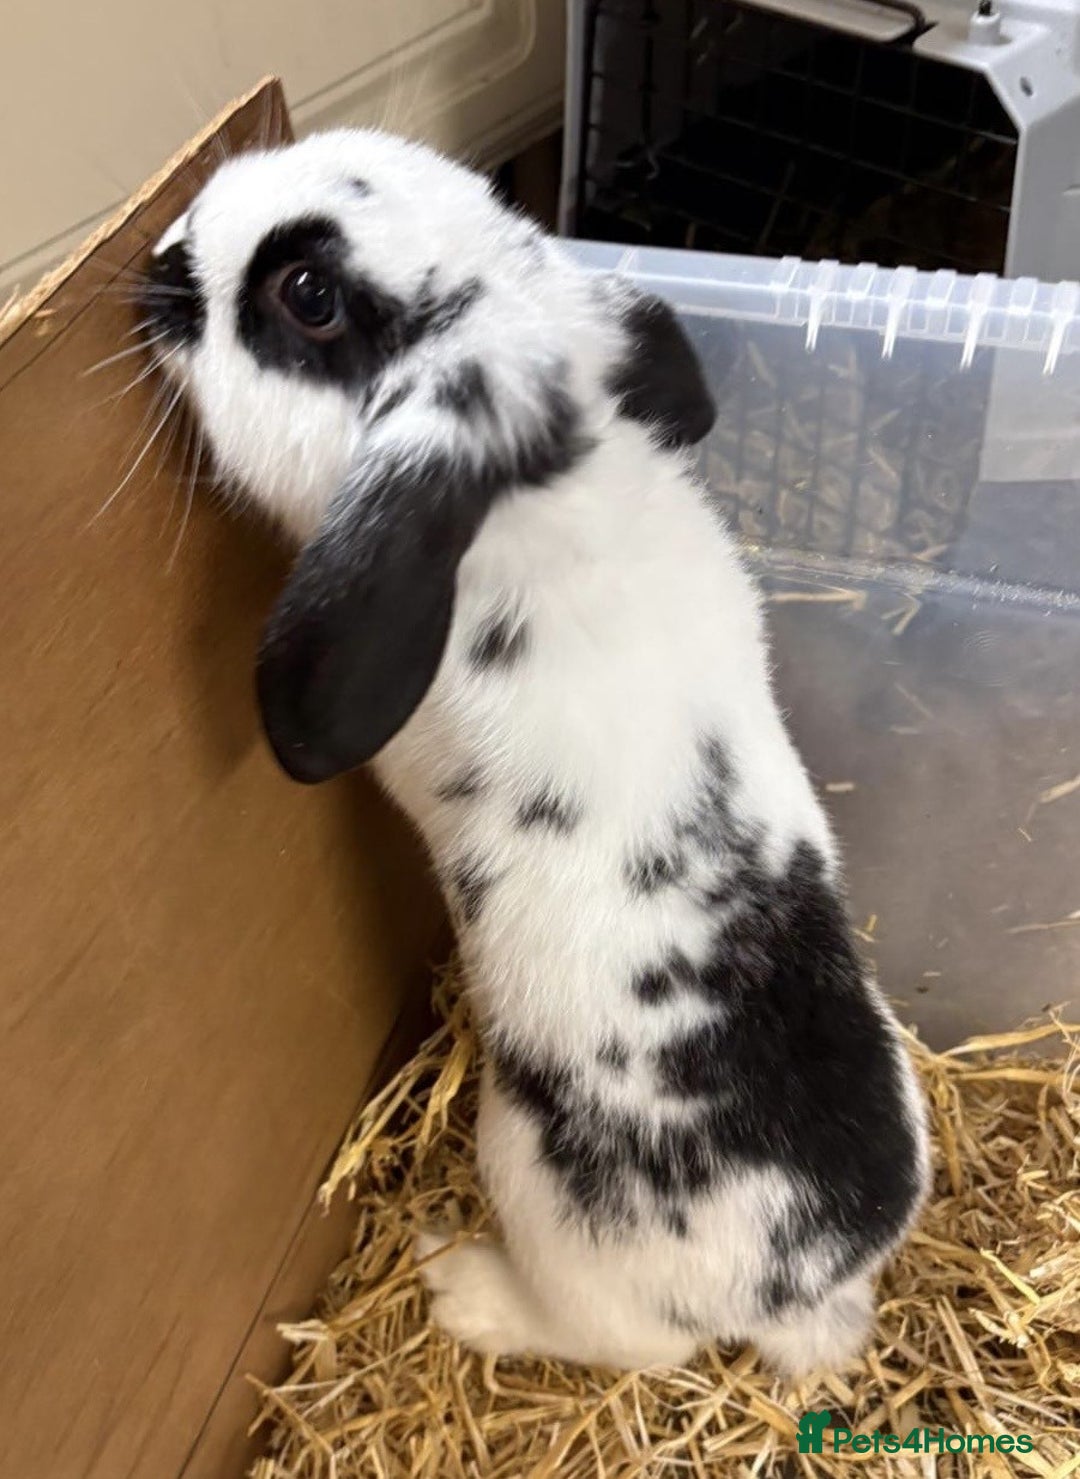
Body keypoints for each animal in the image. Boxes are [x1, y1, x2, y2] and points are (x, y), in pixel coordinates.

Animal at [139, 128, 930, 1377]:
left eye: (307, 294)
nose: (163, 256)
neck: (541, 490)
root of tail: (802, 1286)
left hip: (530, 1179)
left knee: (614, 1339)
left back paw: (463, 1286)